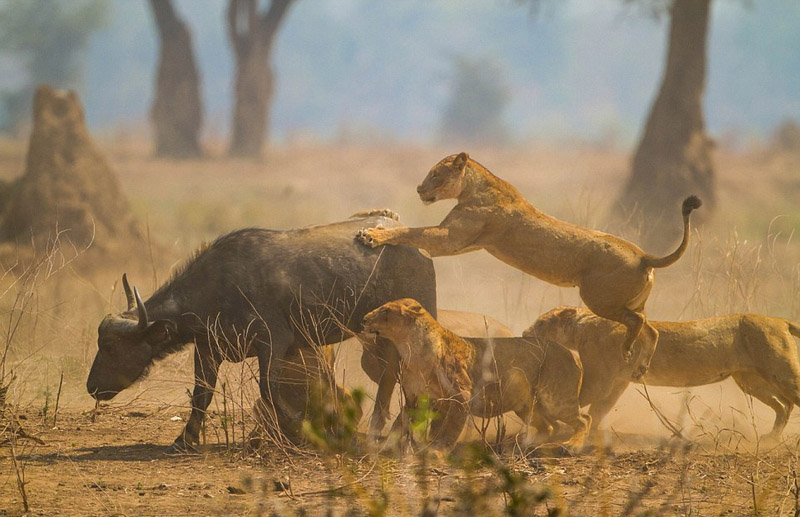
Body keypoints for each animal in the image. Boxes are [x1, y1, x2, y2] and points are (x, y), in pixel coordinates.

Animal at [86, 212, 438, 450]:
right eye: (101, 342)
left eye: (112, 347)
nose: (92, 387)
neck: (218, 289)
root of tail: (418, 247)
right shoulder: (208, 348)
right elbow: (202, 394)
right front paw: (184, 439)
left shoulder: (272, 343)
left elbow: (269, 390)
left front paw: (294, 432)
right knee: (390, 376)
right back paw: (382, 431)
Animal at [356, 151, 700, 376]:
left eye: (435, 174)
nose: (418, 189)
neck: (475, 185)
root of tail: (644, 255)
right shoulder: (463, 241)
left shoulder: (449, 238)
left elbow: (411, 232)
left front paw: (373, 234)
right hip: (628, 301)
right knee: (651, 329)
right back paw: (641, 365)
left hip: (598, 298)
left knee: (638, 322)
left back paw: (627, 350)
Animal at [360, 298, 588, 452]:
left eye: (385, 310)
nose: (364, 319)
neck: (410, 348)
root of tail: (572, 353)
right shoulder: (415, 398)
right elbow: (401, 422)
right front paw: (385, 445)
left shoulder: (461, 395)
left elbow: (449, 428)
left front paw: (437, 450)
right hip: (525, 404)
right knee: (550, 426)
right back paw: (521, 444)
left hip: (556, 399)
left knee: (583, 419)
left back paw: (572, 445)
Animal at [524, 306, 800, 440]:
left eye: (541, 323)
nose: (526, 332)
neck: (581, 326)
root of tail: (780, 320)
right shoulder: (618, 381)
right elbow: (599, 410)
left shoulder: (599, 378)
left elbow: (579, 400)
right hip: (751, 381)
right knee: (783, 405)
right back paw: (771, 437)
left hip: (781, 372)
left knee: (789, 401)